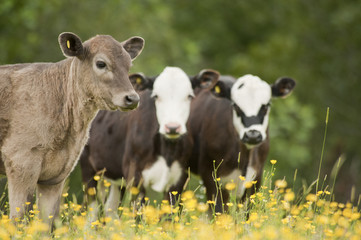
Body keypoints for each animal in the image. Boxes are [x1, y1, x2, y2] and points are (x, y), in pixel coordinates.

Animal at [0, 31, 143, 221]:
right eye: (101, 63)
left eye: (128, 65)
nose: (132, 98)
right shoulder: (21, 163)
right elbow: (19, 220)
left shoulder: (55, 177)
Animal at [80, 66, 218, 217]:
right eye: (156, 96)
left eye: (189, 96)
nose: (172, 127)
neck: (166, 151)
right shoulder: (134, 175)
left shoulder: (179, 179)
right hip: (88, 169)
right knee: (91, 210)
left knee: (110, 209)